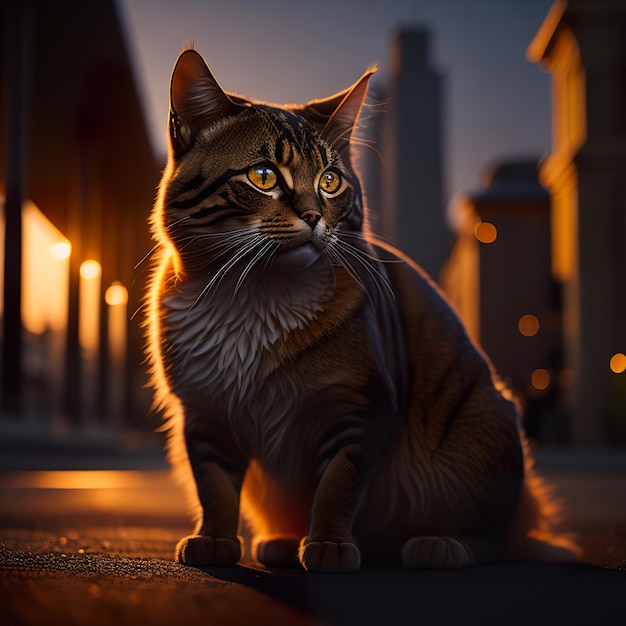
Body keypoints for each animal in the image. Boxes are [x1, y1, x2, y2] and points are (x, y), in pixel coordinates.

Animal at [145, 48, 576, 572]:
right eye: (263, 176)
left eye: (330, 181)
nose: (314, 216)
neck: (255, 295)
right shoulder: (204, 414)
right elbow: (215, 487)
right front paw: (214, 541)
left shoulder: (362, 407)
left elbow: (337, 486)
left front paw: (329, 545)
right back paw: (284, 541)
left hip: (480, 426)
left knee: (491, 536)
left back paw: (439, 544)